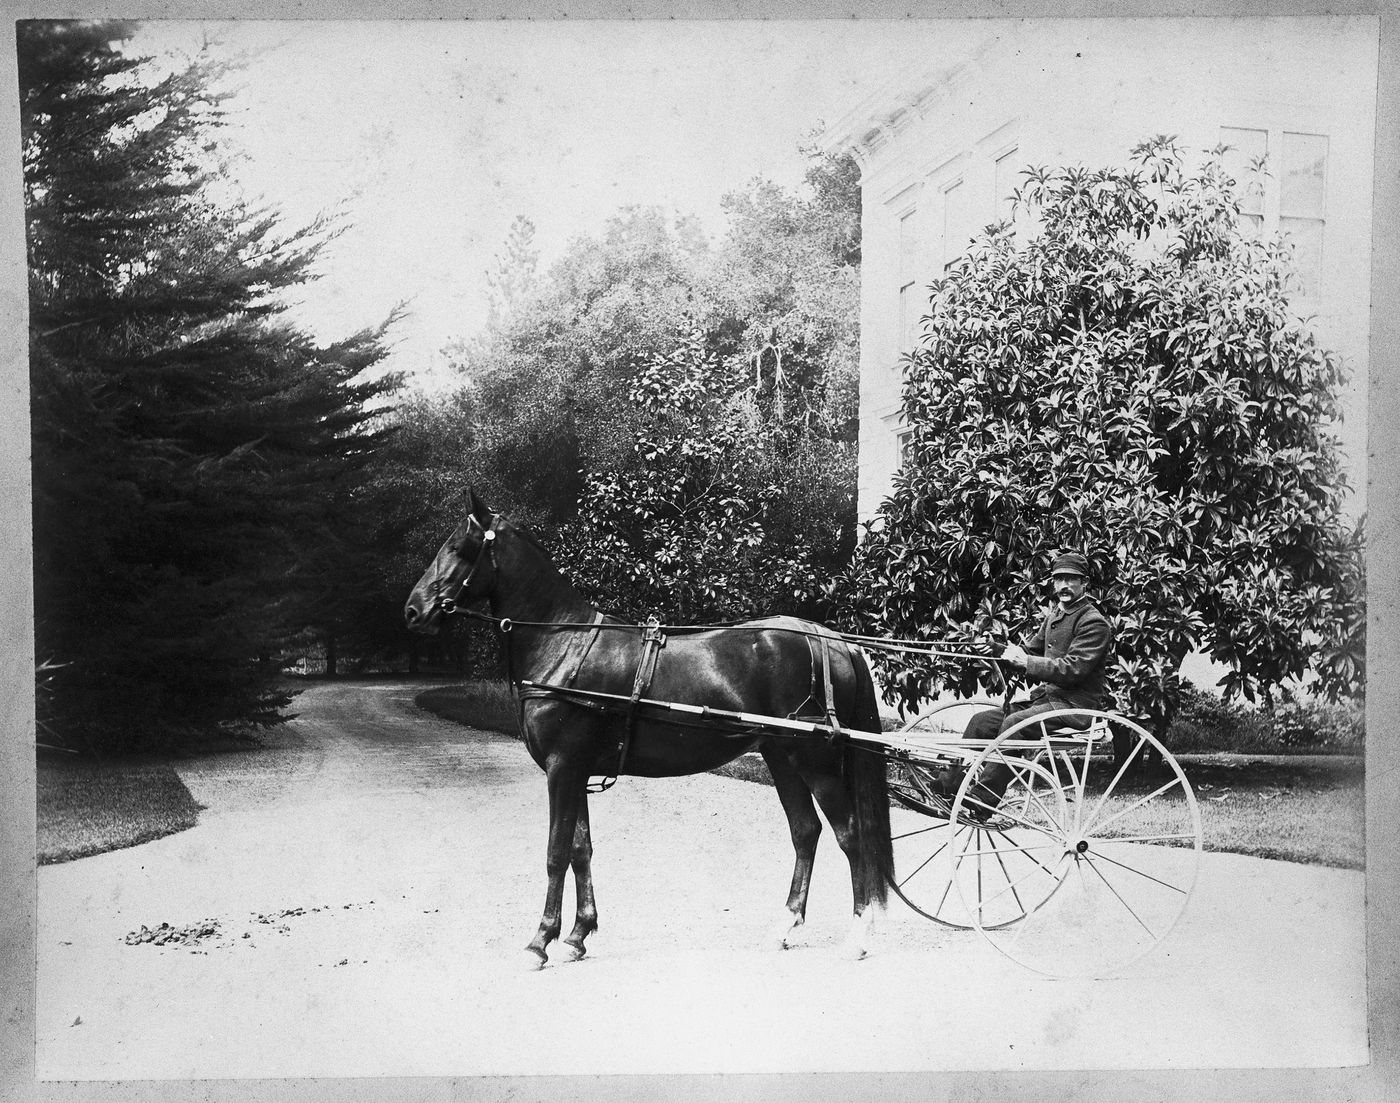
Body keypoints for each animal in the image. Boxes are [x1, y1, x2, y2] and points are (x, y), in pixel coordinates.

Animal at [400, 489, 890, 963]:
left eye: (459, 547)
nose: (412, 611)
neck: (563, 642)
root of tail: (832, 640)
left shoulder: (562, 767)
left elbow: (556, 853)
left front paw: (539, 941)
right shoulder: (577, 770)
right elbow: (580, 849)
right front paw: (577, 935)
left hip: (815, 761)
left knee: (851, 836)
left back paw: (859, 936)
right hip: (781, 756)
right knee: (806, 832)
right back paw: (784, 927)